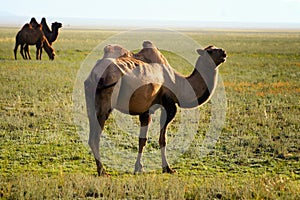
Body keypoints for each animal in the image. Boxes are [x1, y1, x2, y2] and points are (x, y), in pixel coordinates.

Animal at [83, 41, 226, 175]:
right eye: (210, 51)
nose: (224, 52)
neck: (178, 84)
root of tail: (95, 74)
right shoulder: (168, 105)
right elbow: (163, 139)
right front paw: (167, 168)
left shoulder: (146, 109)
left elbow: (142, 140)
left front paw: (139, 168)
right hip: (106, 99)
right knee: (96, 137)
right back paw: (102, 171)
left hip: (90, 99)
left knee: (92, 133)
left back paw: (101, 169)